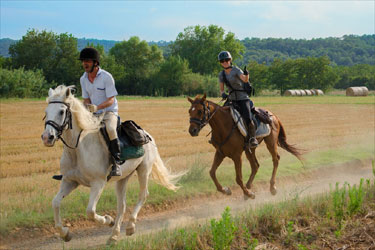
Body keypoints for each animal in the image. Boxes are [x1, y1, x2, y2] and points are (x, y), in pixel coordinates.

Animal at [41, 86, 183, 244]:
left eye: (61, 111)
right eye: (46, 112)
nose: (47, 138)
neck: (78, 149)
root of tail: (148, 135)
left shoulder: (98, 183)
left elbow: (90, 212)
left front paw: (108, 220)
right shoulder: (69, 181)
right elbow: (55, 203)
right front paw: (65, 233)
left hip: (144, 170)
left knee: (143, 195)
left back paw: (130, 226)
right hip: (123, 178)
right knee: (122, 205)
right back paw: (114, 235)